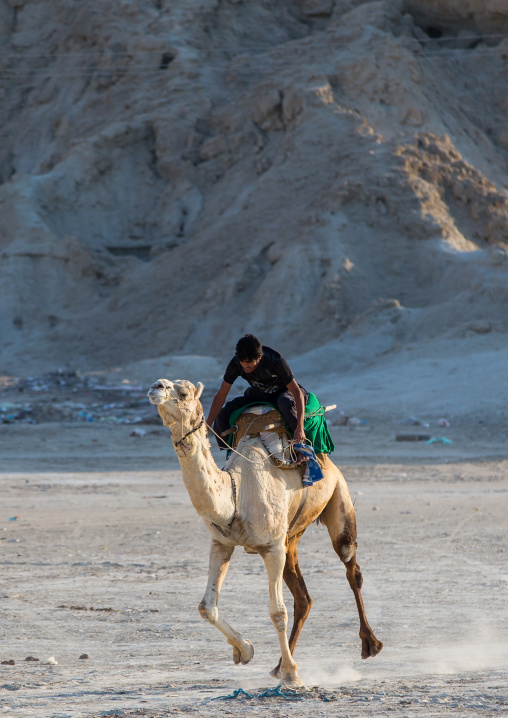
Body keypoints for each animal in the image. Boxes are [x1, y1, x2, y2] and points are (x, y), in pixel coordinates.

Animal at [147, 378, 383, 686]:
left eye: (184, 391)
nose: (156, 386)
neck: (237, 493)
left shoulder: (271, 547)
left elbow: (277, 612)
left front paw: (293, 675)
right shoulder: (221, 543)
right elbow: (206, 607)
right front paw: (245, 651)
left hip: (337, 496)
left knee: (350, 565)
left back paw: (370, 644)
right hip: (290, 538)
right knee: (303, 597)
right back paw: (279, 665)